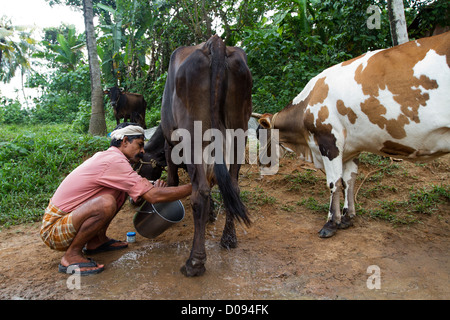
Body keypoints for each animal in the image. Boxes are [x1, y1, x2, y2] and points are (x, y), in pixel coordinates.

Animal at [160, 34, 253, 276]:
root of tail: (216, 43)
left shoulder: (170, 143)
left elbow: (172, 179)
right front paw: (211, 215)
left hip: (192, 136)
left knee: (199, 192)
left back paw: (195, 262)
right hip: (239, 132)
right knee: (233, 186)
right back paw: (229, 239)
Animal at [256, 31, 450, 238]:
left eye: (260, 134)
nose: (260, 162)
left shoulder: (329, 142)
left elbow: (333, 183)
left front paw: (331, 223)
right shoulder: (351, 149)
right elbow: (349, 181)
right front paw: (347, 217)